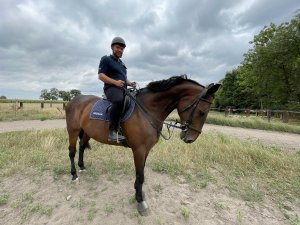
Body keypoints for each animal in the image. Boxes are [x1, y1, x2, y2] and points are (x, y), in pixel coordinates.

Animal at [65, 75, 220, 214]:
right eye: (202, 112)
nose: (190, 139)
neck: (147, 111)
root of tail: (73, 101)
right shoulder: (139, 150)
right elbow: (140, 175)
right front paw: (140, 201)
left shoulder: (146, 150)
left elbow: (142, 174)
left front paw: (138, 192)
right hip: (73, 131)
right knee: (72, 151)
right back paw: (74, 175)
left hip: (87, 132)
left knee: (82, 147)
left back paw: (82, 167)